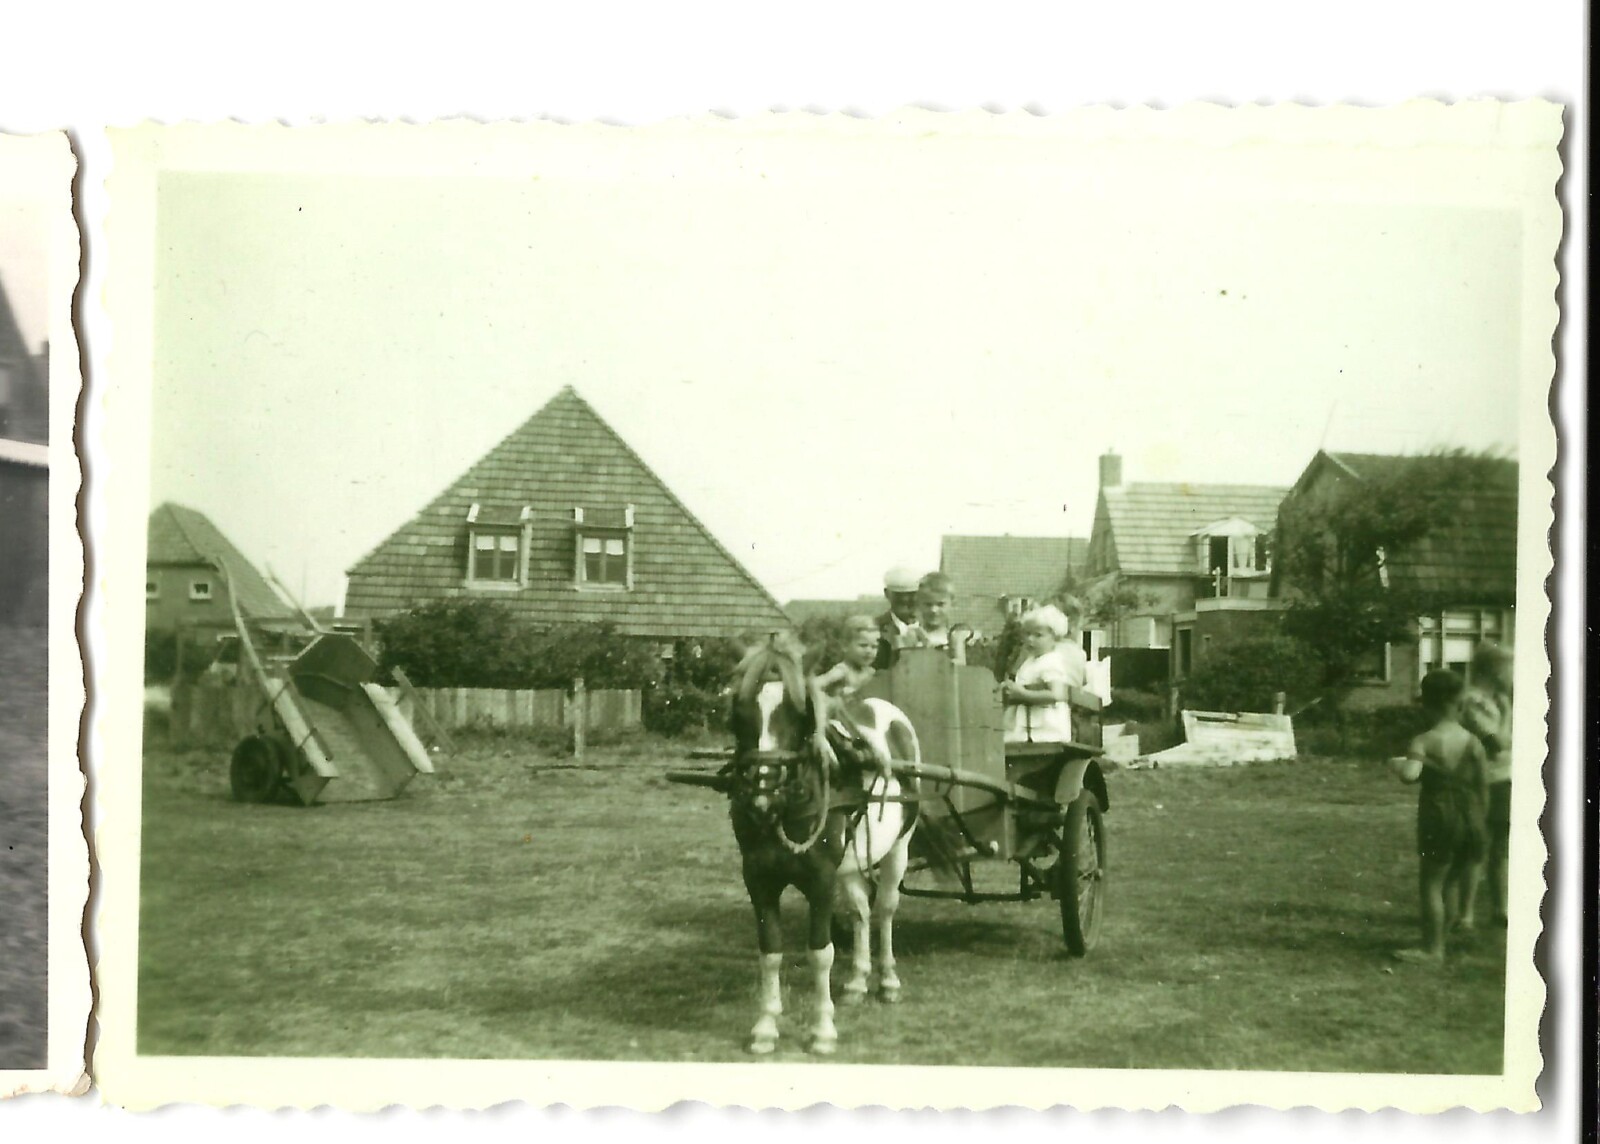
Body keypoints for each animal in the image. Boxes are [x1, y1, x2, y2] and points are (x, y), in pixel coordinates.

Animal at [729, 636, 921, 1056]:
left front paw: (822, 1030)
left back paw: (887, 981)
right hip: (848, 867)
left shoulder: (819, 880)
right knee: (862, 913)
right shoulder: (758, 878)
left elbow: (821, 953)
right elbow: (770, 952)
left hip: (900, 847)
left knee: (885, 909)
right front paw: (765, 1027)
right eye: (739, 712)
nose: (761, 796)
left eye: (798, 712)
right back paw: (857, 982)